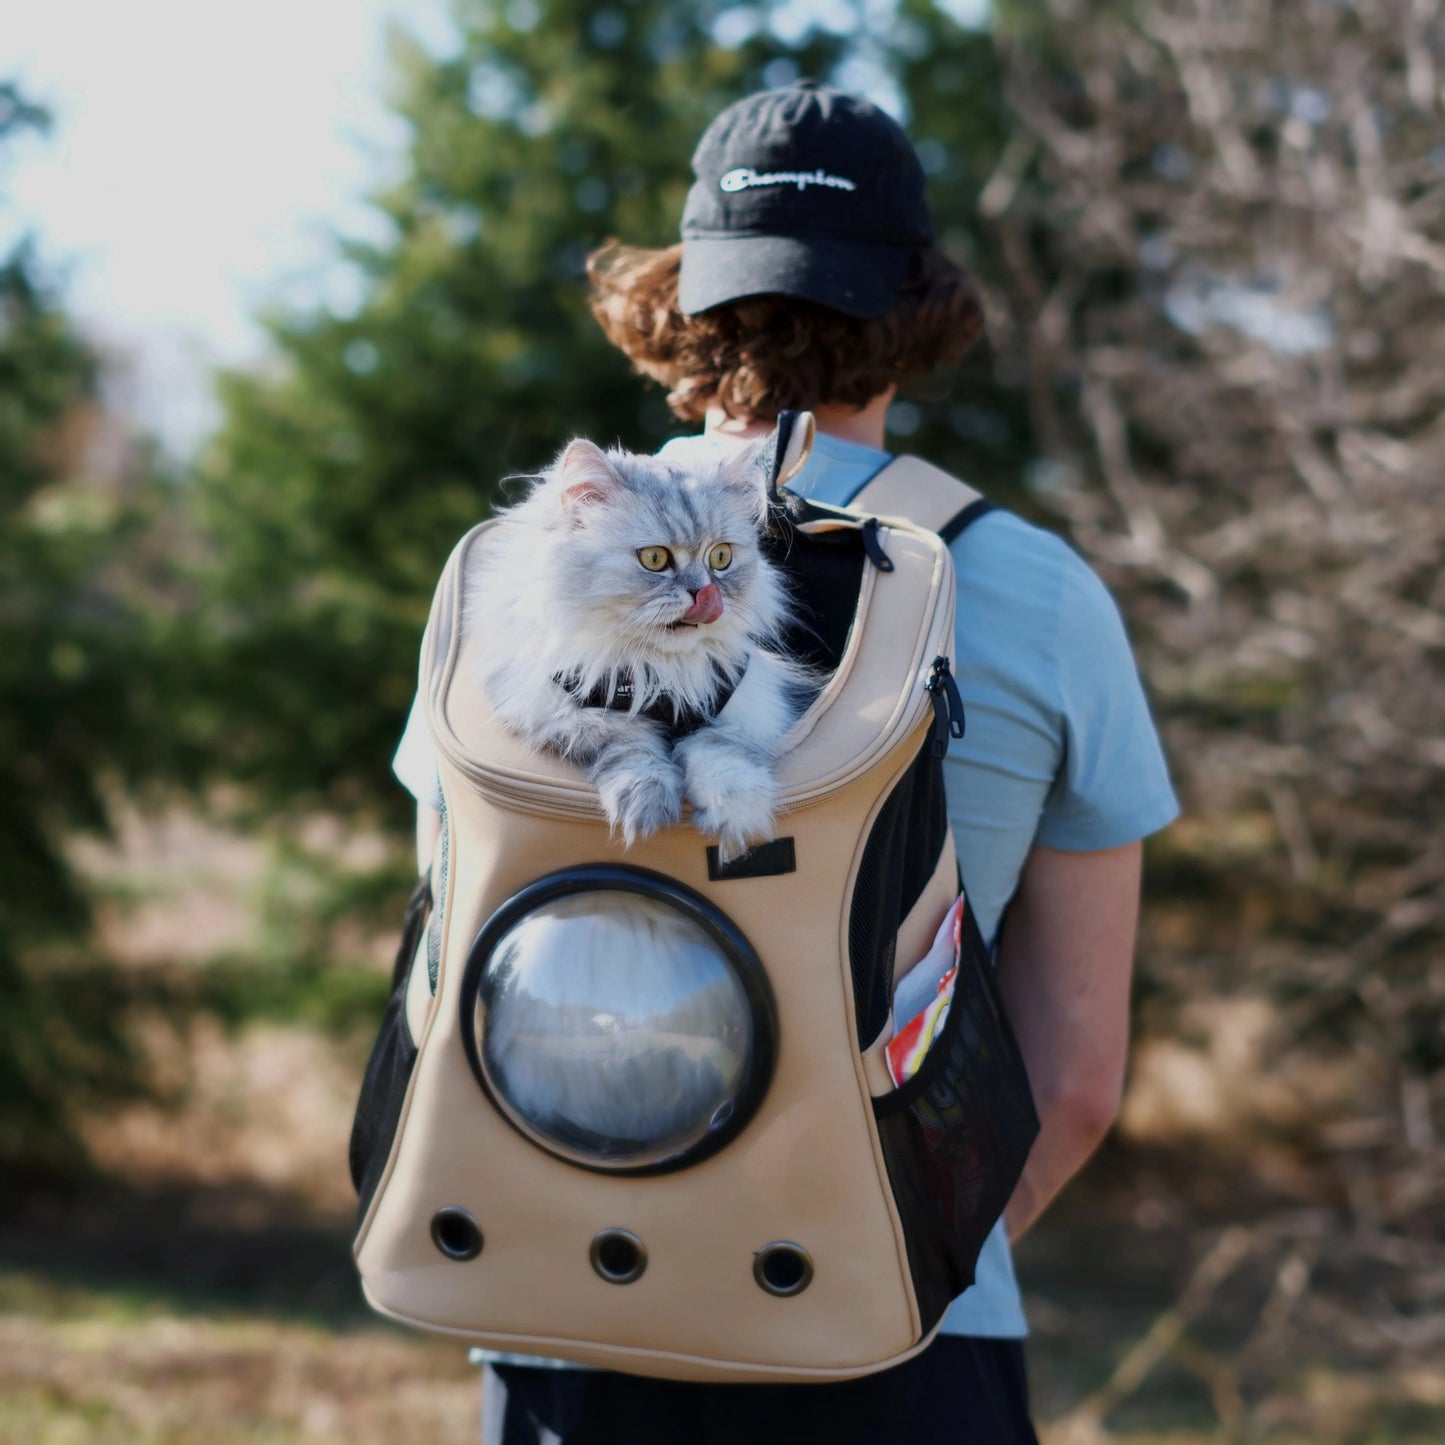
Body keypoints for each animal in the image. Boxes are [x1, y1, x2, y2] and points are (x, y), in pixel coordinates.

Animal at [473, 427, 814, 855]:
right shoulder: (567, 716)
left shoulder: (745, 709)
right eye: (654, 559)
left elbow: (720, 752)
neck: (660, 674)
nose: (704, 594)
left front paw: (736, 814)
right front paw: (647, 806)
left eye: (720, 557)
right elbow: (632, 745)